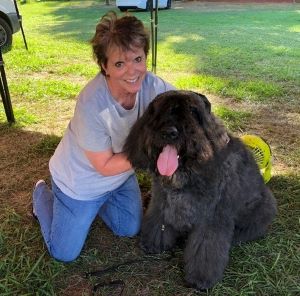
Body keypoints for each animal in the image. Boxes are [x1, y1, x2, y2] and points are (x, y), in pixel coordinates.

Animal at [123, 89, 278, 290]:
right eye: (161, 110)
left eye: (193, 112)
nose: (170, 132)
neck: (190, 171)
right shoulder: (161, 203)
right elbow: (158, 223)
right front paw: (152, 243)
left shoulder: (212, 219)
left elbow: (205, 249)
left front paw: (200, 278)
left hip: (264, 206)